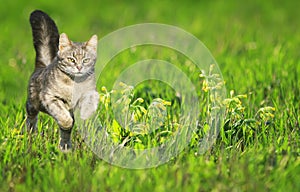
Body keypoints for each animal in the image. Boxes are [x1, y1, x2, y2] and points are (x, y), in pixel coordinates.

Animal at [26, 10, 99, 152]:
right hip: (33, 104)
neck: (74, 84)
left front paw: (85, 114)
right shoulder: (50, 97)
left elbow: (88, 104)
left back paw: (65, 147)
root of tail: (44, 65)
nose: (79, 67)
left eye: (86, 60)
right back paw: (30, 134)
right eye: (71, 59)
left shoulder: (90, 93)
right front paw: (66, 123)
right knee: (31, 118)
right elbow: (64, 118)